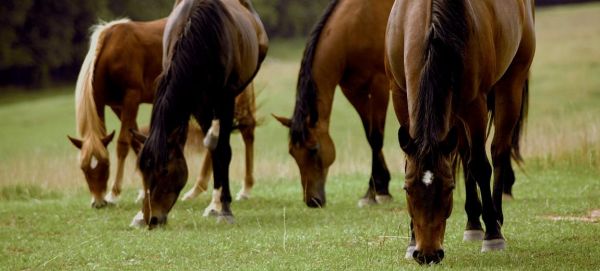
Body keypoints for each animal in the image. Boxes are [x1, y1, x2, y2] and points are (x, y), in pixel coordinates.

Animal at [135, 0, 268, 230]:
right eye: (143, 171)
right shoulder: (197, 103)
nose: (152, 219)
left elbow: (223, 150)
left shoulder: (225, 99)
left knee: (237, 132)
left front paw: (225, 209)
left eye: (166, 171)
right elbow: (213, 147)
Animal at [274, 0, 396, 208]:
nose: (312, 201)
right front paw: (377, 189)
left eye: (314, 150)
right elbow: (369, 136)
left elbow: (376, 137)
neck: (356, 25)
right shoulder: (354, 91)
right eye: (292, 153)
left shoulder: (379, 85)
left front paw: (377, 192)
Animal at [384, 0, 536, 264]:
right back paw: (473, 223)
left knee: (498, 151)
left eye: (449, 189)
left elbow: (480, 166)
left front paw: (493, 235)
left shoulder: (475, 105)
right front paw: (411, 240)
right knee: (465, 154)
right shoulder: (400, 96)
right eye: (407, 189)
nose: (427, 254)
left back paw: (495, 218)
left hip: (511, 84)